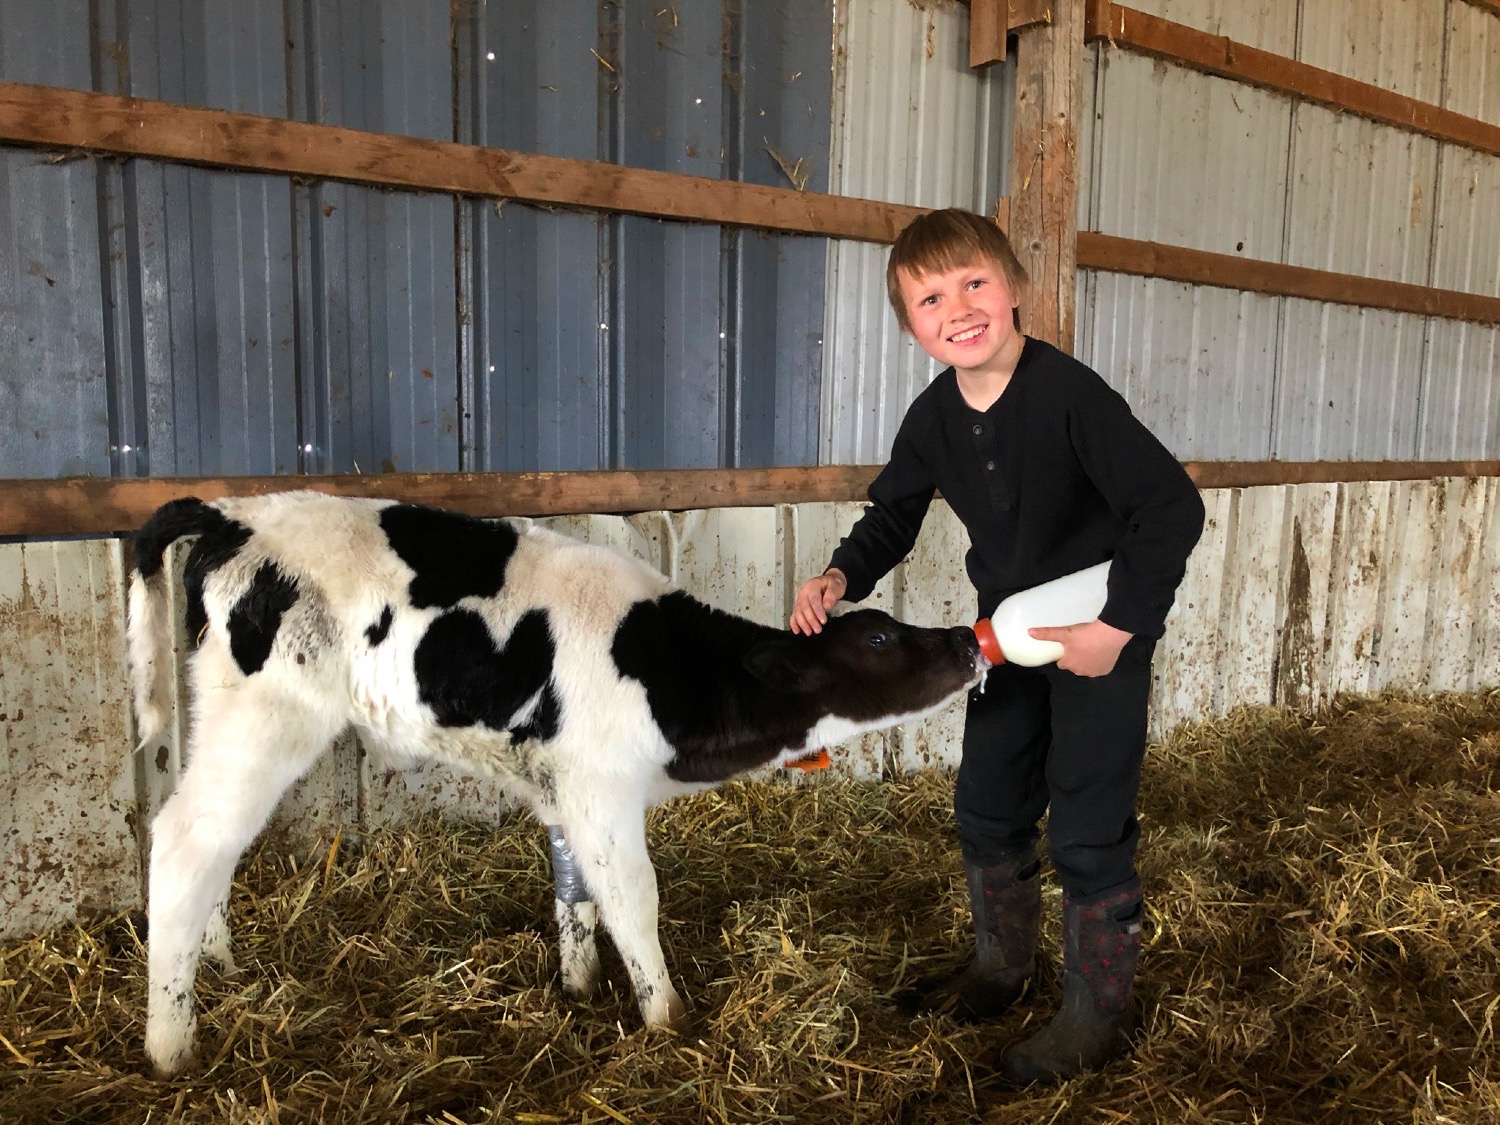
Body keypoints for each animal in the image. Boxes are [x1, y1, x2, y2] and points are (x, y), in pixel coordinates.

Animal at [129, 492, 984, 1074]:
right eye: (879, 637)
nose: (967, 639)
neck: (663, 670)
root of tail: (233, 513)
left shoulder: (563, 786)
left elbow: (575, 890)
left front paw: (579, 987)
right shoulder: (601, 788)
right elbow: (633, 897)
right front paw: (667, 1017)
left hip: (222, 711)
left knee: (215, 844)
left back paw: (219, 962)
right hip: (268, 714)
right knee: (184, 841)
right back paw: (171, 1043)